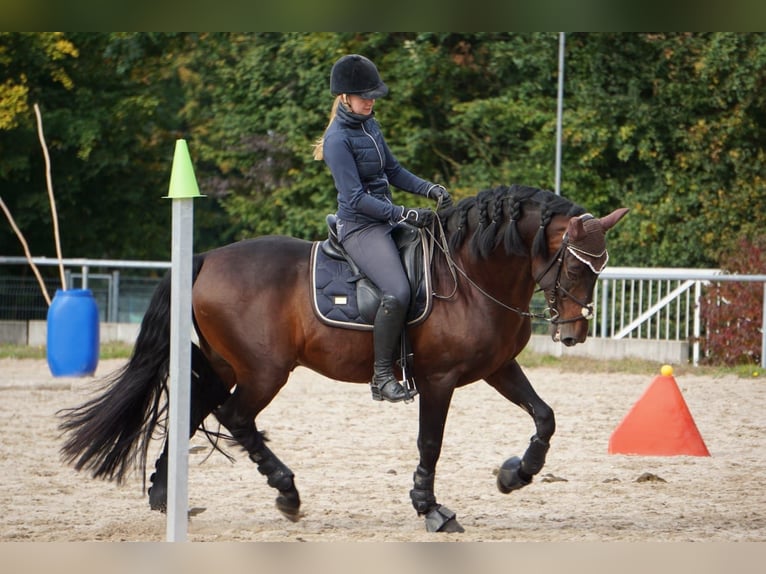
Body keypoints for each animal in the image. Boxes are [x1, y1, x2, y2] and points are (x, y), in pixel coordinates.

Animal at [58, 186, 632, 536]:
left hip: (225, 367)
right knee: (235, 418)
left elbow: (544, 416)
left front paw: (515, 475)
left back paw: (164, 496)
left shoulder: (497, 368)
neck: (470, 275)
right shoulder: (439, 380)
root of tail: (205, 258)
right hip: (264, 372)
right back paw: (287, 493)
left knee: (196, 412)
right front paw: (431, 509)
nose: (573, 333)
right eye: (576, 268)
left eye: (601, 267)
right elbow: (430, 442)